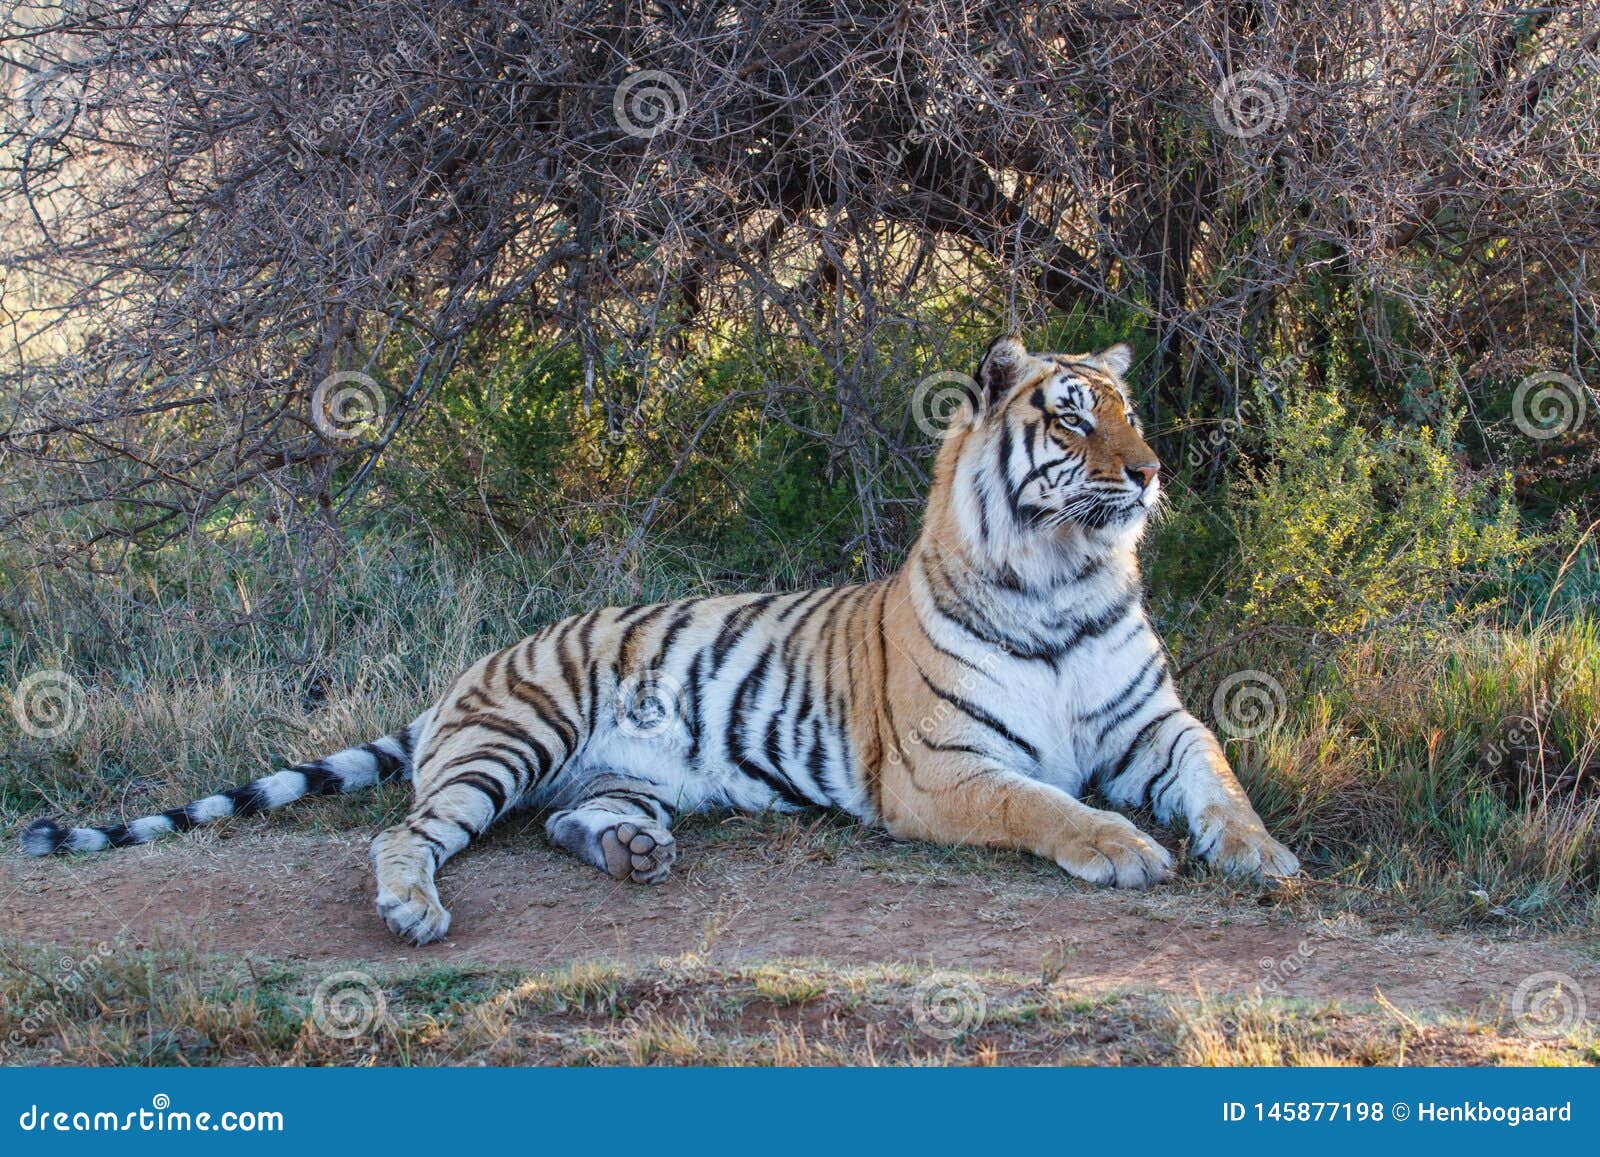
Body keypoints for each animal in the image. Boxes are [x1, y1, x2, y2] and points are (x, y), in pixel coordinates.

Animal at [21, 332, 1299, 940]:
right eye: (1073, 418)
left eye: (1129, 412)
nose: (1150, 471)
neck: (1061, 583)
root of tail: (465, 674)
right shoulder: (942, 769)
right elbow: (1042, 805)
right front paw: (1124, 848)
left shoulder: (1155, 725)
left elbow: (1219, 774)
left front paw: (1262, 853)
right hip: (513, 737)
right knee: (404, 833)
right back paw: (415, 910)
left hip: (619, 772)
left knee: (571, 820)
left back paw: (634, 854)